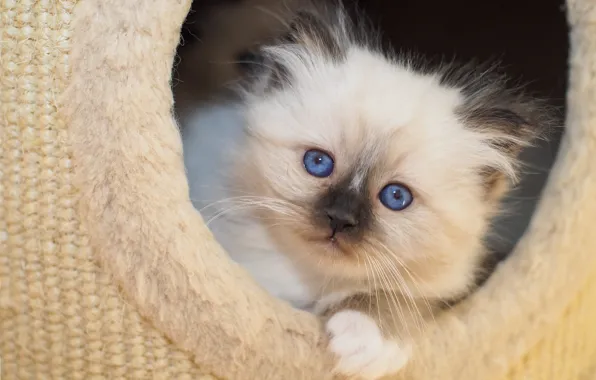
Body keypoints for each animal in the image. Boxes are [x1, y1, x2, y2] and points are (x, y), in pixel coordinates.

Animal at [180, 2, 548, 378]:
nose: (339, 220)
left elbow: (400, 297)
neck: (311, 282)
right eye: (318, 163)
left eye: (396, 197)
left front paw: (366, 336)